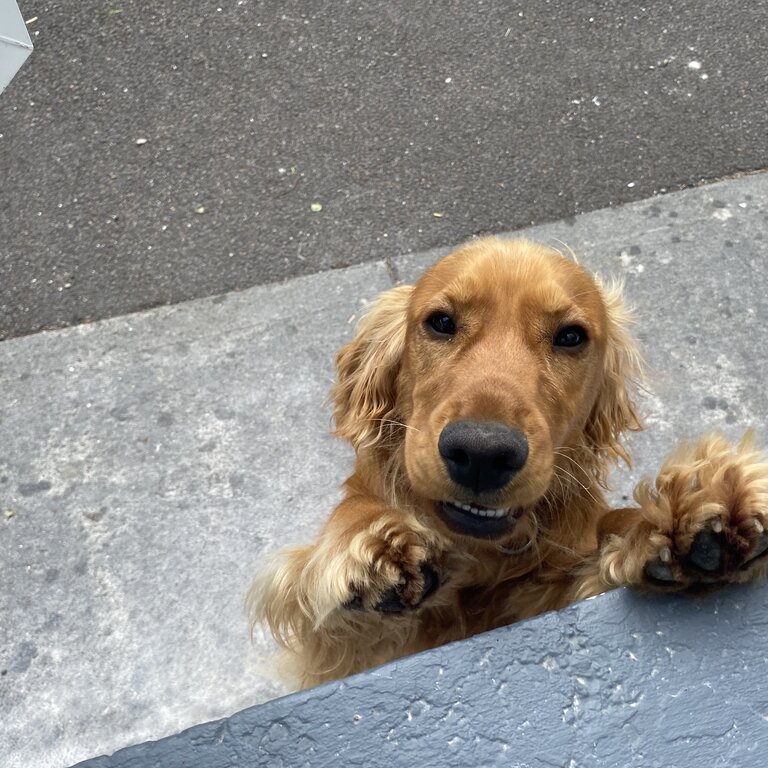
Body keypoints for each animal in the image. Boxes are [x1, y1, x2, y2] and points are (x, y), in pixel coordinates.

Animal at [246, 237, 768, 688]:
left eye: (571, 336)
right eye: (441, 322)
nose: (482, 453)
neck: (481, 557)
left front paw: (688, 517)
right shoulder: (355, 655)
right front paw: (370, 545)